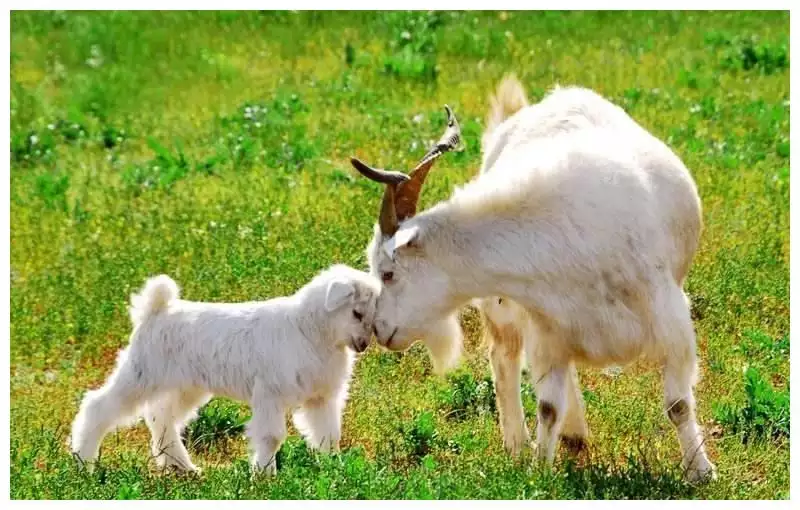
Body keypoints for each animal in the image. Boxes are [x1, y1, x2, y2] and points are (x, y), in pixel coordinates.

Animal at [70, 264, 380, 476]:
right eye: (356, 313)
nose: (364, 344)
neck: (309, 330)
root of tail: (156, 309)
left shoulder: (321, 398)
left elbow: (329, 435)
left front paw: (334, 469)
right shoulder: (270, 394)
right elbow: (271, 436)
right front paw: (266, 476)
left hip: (185, 387)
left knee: (161, 418)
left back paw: (183, 468)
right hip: (140, 376)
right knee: (98, 407)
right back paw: (84, 462)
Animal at [354, 76, 716, 482]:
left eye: (388, 273)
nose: (379, 331)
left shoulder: (670, 320)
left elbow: (678, 404)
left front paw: (700, 470)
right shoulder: (546, 327)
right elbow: (547, 407)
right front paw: (539, 470)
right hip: (508, 312)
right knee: (504, 359)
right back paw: (523, 441)